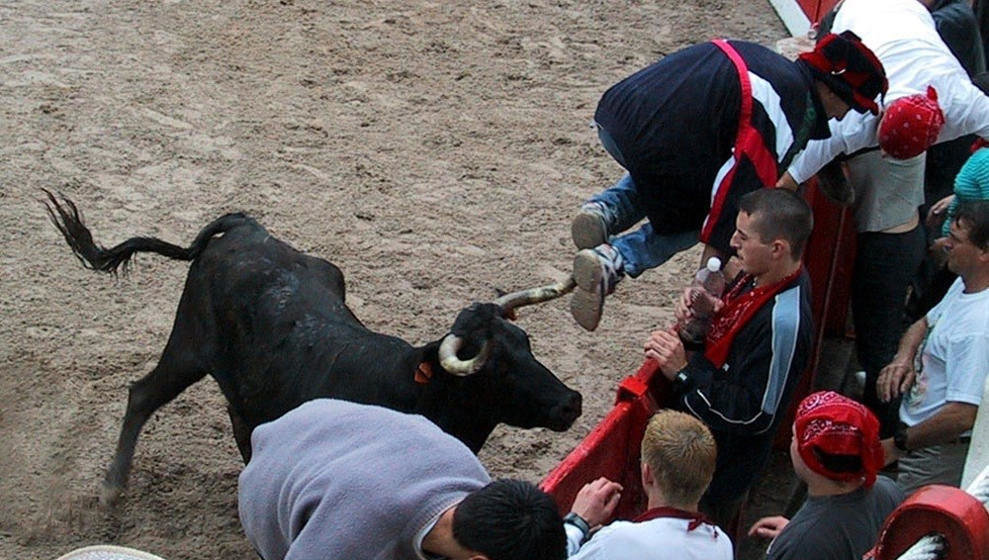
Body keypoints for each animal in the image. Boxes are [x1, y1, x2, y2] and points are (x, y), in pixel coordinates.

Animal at [46, 192, 584, 504]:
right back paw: (112, 487)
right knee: (142, 395)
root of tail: (248, 229)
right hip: (187, 347)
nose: (572, 401)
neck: (408, 393)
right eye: (498, 369)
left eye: (528, 345)